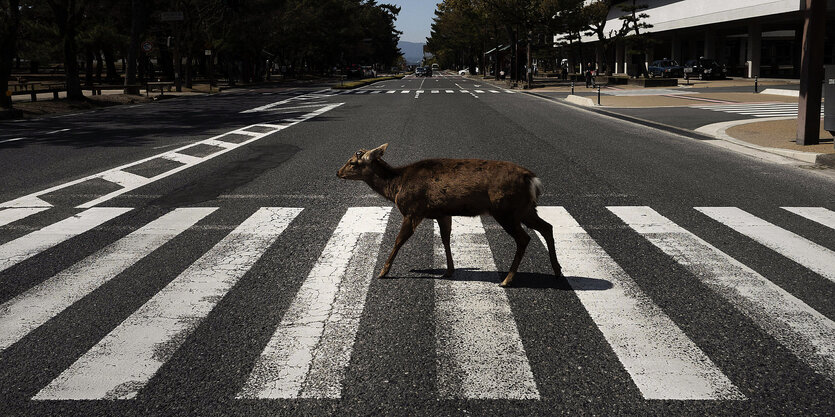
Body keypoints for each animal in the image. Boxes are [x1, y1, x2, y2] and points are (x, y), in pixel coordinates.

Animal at [336, 143, 564, 286]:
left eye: (353, 162)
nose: (338, 172)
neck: (396, 186)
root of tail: (532, 180)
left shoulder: (413, 210)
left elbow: (399, 241)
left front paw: (383, 272)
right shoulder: (442, 213)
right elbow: (445, 239)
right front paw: (449, 270)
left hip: (505, 209)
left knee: (524, 238)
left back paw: (507, 280)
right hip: (525, 209)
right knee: (547, 227)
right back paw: (557, 271)